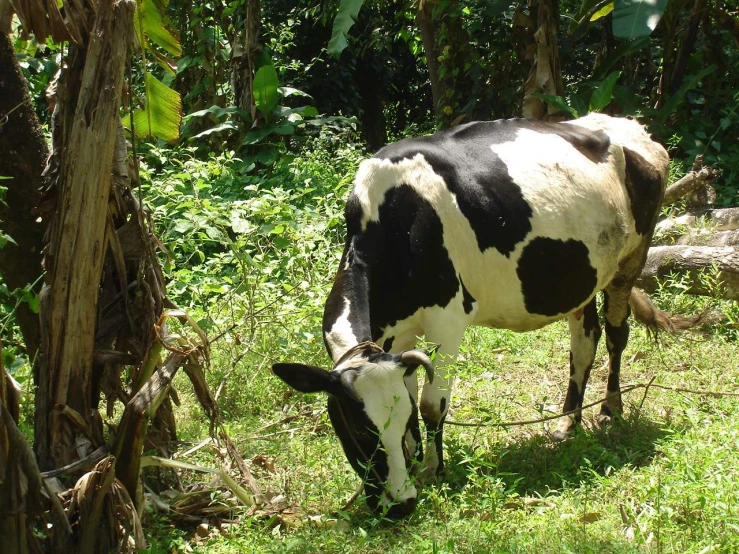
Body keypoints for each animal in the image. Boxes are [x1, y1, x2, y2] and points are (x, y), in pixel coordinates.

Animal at [274, 113, 692, 516]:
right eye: (362, 432)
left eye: (396, 423)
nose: (400, 506)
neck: (397, 221)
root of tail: (632, 127)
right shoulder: (398, 337)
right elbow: (412, 391)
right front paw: (416, 464)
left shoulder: (447, 319)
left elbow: (432, 404)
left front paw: (433, 469)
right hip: (582, 275)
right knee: (584, 343)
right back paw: (566, 424)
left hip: (630, 261)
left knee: (616, 335)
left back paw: (610, 409)